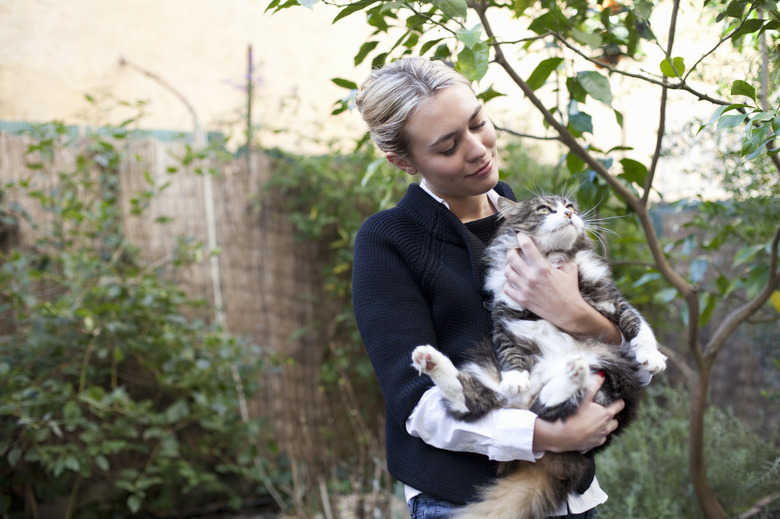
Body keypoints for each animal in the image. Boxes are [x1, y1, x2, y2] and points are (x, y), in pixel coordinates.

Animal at [412, 195, 668, 519]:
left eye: (570, 205)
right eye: (545, 209)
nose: (569, 214)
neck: (551, 258)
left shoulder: (610, 299)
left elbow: (637, 325)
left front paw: (652, 357)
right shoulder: (503, 316)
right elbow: (510, 353)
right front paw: (515, 378)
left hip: (605, 371)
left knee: (545, 405)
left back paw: (573, 370)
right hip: (490, 373)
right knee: (490, 402)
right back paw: (431, 358)